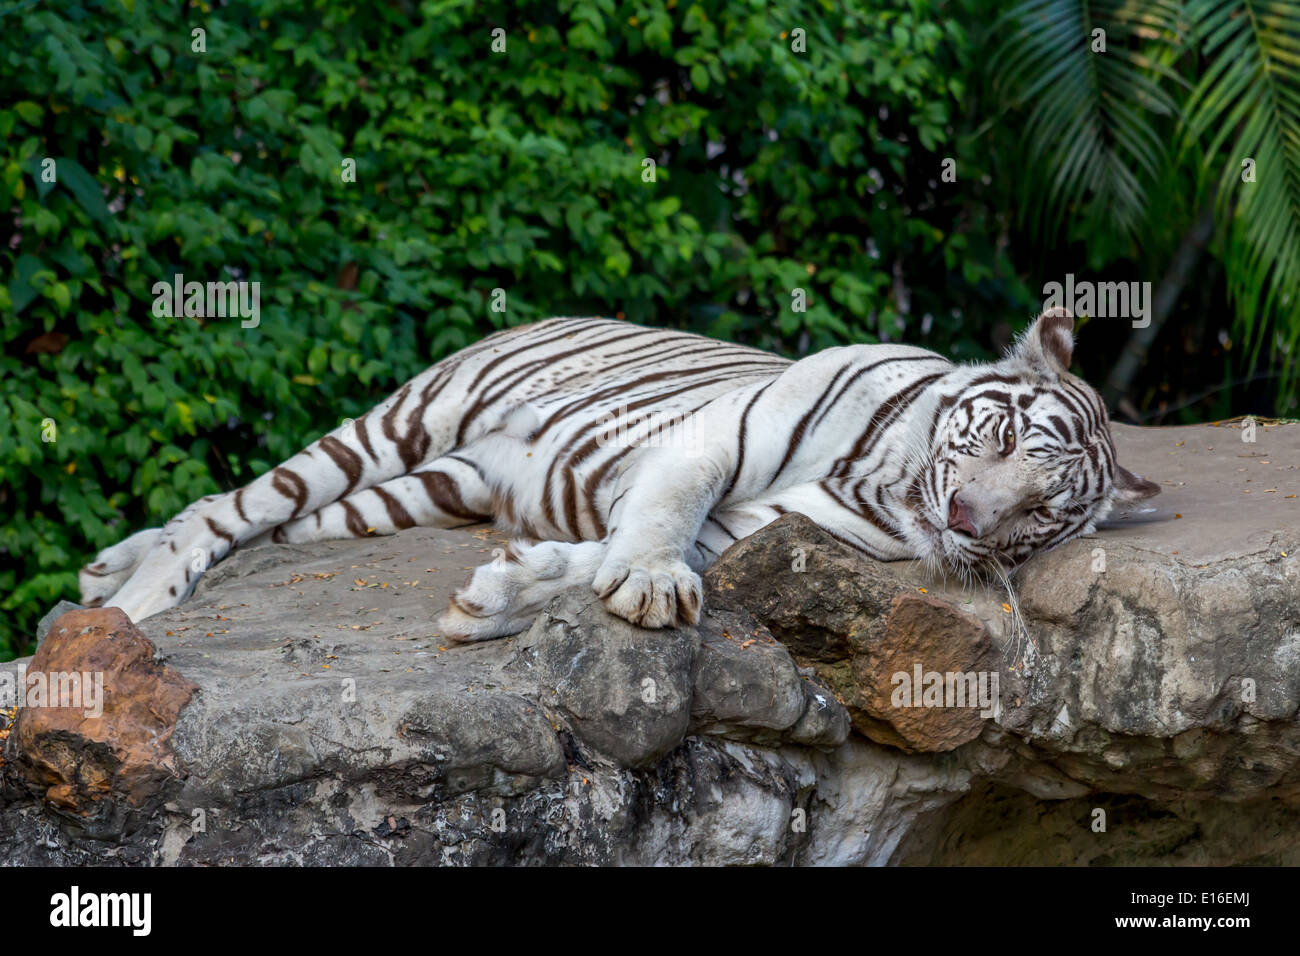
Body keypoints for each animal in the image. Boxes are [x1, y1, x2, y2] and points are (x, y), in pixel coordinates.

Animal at [80, 307, 1159, 641]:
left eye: (1041, 514)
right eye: (1007, 442)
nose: (971, 521)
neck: (885, 478)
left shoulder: (756, 528)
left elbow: (582, 558)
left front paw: (501, 595)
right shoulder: (713, 441)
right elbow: (659, 518)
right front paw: (643, 583)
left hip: (415, 491)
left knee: (255, 520)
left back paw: (104, 572)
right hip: (391, 429)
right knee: (224, 507)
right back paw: (129, 601)